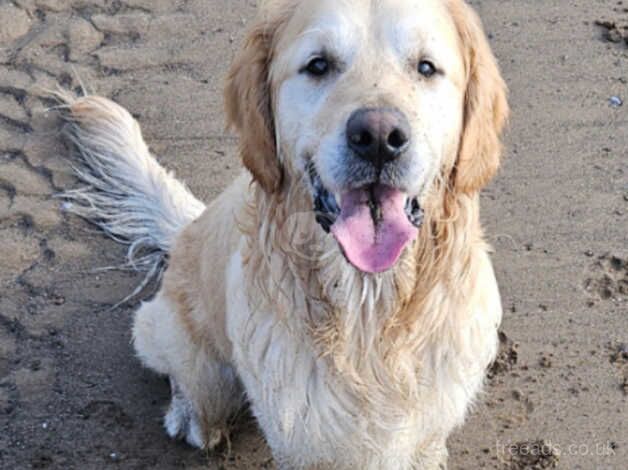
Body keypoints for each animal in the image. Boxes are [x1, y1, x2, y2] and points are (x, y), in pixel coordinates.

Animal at [59, 0, 508, 468]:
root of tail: (187, 230)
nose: (379, 137)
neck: (367, 316)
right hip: (177, 341)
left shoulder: (425, 434)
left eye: (425, 67)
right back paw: (191, 415)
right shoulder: (299, 437)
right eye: (318, 65)